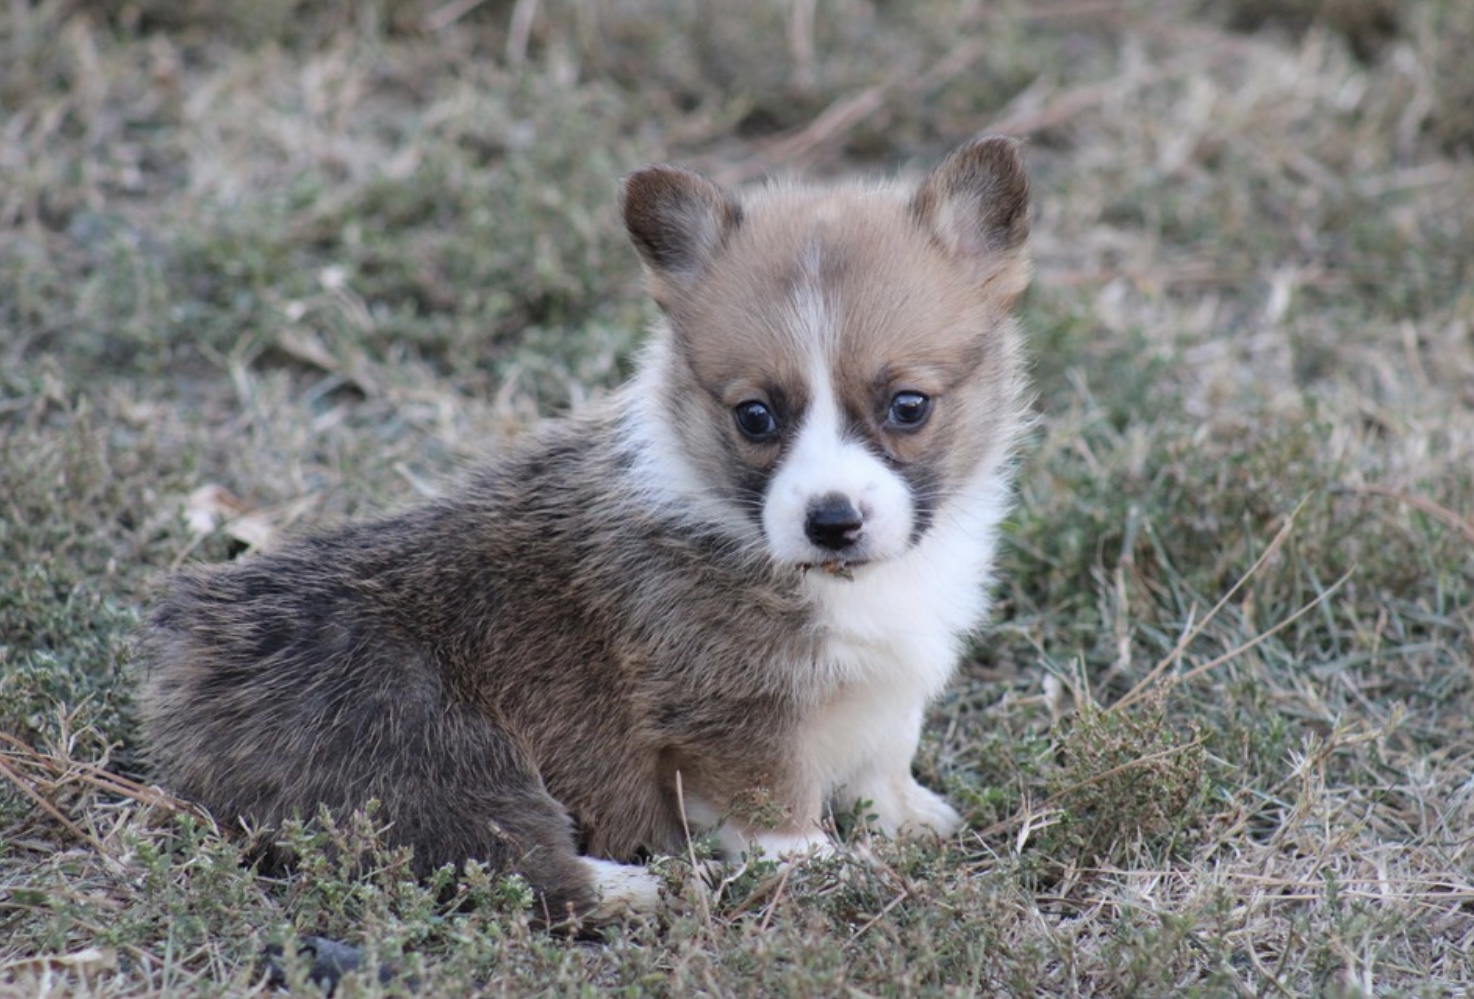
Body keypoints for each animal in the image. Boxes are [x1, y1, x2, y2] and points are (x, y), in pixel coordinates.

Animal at [140, 139, 1037, 925]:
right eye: (755, 416)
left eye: (908, 405)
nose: (832, 521)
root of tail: (192, 675)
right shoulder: (732, 710)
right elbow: (774, 803)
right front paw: (827, 866)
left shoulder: (890, 683)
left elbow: (887, 749)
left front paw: (907, 817)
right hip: (428, 739)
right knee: (497, 852)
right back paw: (629, 887)